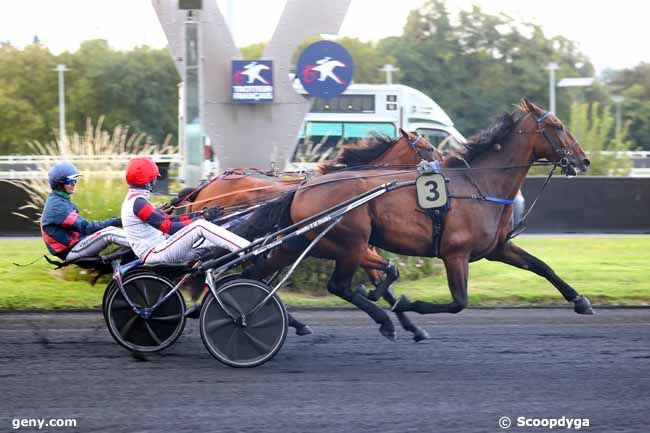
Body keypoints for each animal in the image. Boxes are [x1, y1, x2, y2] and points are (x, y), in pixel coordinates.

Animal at [242, 99, 592, 340]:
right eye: (558, 126)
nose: (584, 159)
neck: (481, 184)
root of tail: (303, 188)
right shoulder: (455, 254)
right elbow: (458, 302)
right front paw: (407, 305)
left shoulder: (497, 248)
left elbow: (542, 267)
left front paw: (580, 301)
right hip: (350, 241)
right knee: (337, 285)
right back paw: (383, 320)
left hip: (305, 242)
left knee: (257, 273)